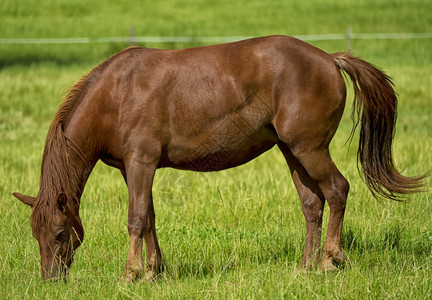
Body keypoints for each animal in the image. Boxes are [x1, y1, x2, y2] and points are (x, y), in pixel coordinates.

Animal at [12, 35, 426, 282]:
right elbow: (150, 219)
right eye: (35, 233)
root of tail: (329, 58)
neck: (117, 94)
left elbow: (136, 218)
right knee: (312, 203)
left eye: (60, 233)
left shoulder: (141, 162)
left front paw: (131, 274)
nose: (51, 280)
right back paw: (305, 266)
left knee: (338, 190)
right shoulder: (133, 169)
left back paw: (328, 259)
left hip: (310, 149)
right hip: (293, 151)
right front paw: (154, 271)